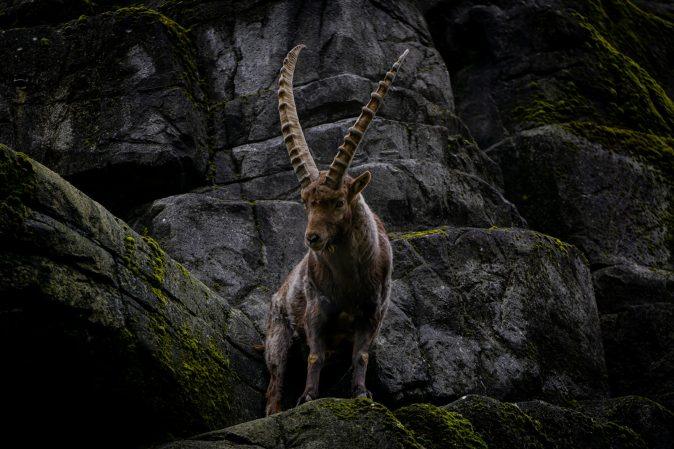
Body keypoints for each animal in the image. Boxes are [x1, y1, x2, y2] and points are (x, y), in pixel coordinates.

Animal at [264, 44, 408, 415]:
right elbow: (315, 355)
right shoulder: (316, 311)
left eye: (339, 202)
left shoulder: (373, 314)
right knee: (274, 386)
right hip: (278, 337)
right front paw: (308, 398)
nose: (312, 238)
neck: (348, 281)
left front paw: (361, 394)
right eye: (306, 202)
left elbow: (361, 356)